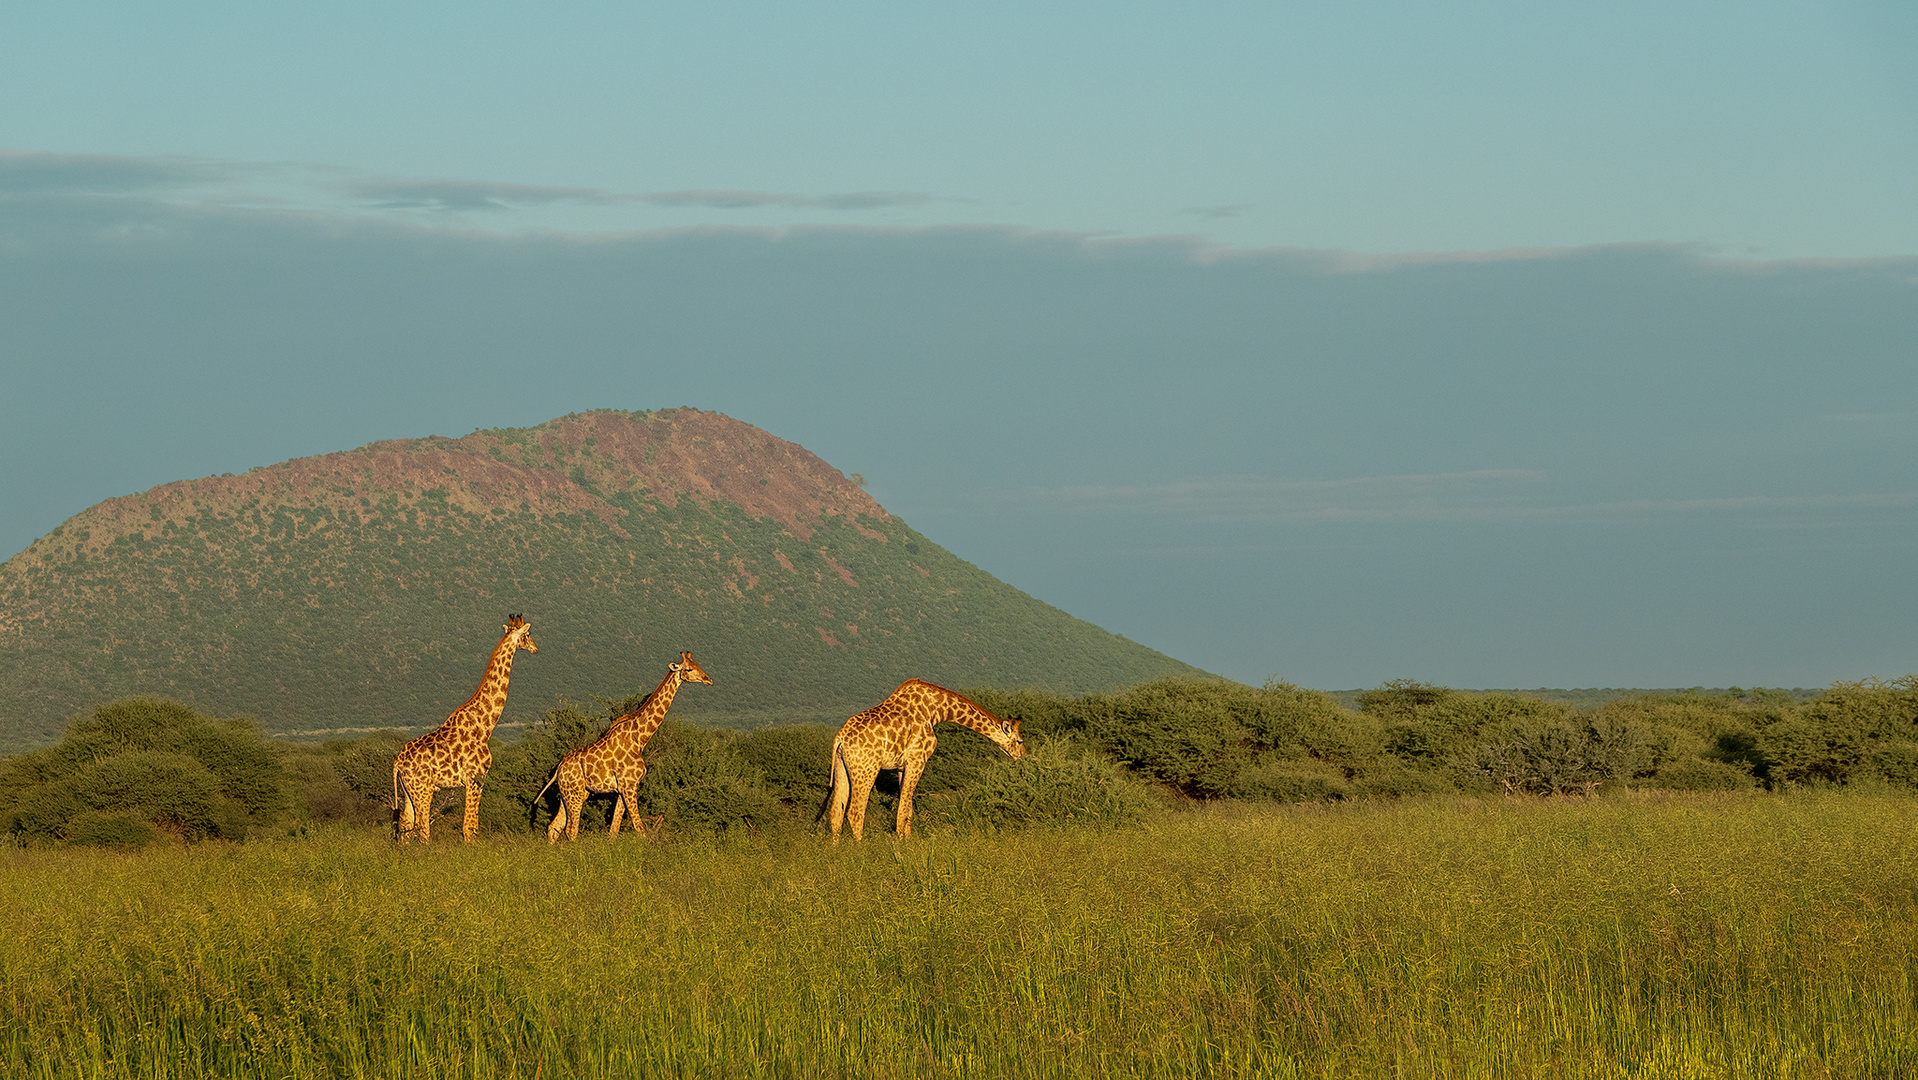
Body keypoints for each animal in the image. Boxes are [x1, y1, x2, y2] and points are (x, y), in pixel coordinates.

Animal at [391, 617, 537, 844]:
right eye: (528, 635)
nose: (535, 649)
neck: (485, 725)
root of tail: (397, 762)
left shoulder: (476, 780)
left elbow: (471, 825)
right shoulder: (475, 778)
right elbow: (469, 827)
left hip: (408, 790)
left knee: (405, 826)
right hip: (423, 788)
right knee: (422, 827)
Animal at [537, 652, 717, 844]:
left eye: (698, 665)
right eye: (689, 669)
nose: (708, 680)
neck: (640, 740)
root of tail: (558, 769)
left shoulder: (622, 788)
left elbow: (614, 829)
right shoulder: (629, 785)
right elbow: (639, 828)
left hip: (571, 793)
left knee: (554, 826)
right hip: (575, 792)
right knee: (571, 830)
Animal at [828, 679, 1028, 840]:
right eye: (1019, 741)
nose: (1023, 756)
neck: (936, 709)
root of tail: (840, 738)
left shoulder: (902, 766)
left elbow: (907, 808)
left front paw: (906, 841)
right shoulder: (918, 759)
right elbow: (903, 810)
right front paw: (901, 846)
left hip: (842, 767)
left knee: (836, 812)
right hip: (867, 769)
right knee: (855, 812)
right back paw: (860, 850)